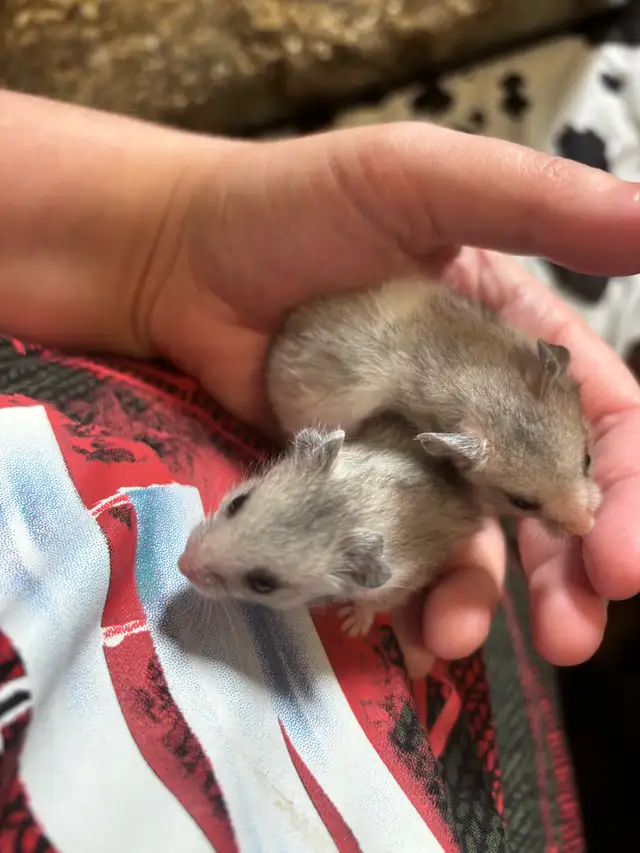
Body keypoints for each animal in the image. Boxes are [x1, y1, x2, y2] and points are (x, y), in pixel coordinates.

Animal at [177, 414, 483, 636]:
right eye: (237, 503)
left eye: (263, 584)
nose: (181, 564)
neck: (357, 505)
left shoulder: (404, 581)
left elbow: (374, 602)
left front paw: (351, 624)